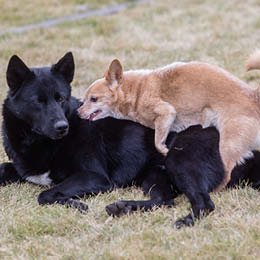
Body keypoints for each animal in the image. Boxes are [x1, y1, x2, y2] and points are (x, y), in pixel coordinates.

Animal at [78, 60, 260, 192]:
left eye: (93, 99)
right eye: (84, 99)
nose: (78, 112)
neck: (136, 92)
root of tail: (253, 96)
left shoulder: (166, 112)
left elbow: (158, 142)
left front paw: (165, 150)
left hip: (226, 147)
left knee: (226, 175)